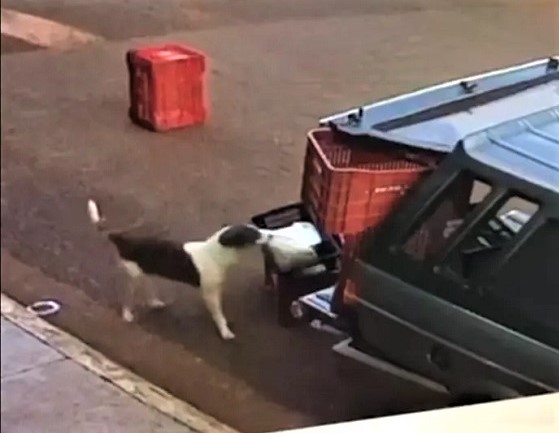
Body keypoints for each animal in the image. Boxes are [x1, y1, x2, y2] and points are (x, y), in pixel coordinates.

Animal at [86, 197, 274, 340]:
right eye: (254, 235)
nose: (271, 235)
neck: (216, 253)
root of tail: (124, 240)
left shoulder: (215, 289)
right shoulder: (210, 294)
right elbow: (219, 315)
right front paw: (225, 331)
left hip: (145, 272)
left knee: (147, 289)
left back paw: (155, 302)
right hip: (133, 277)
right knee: (128, 298)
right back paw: (127, 315)